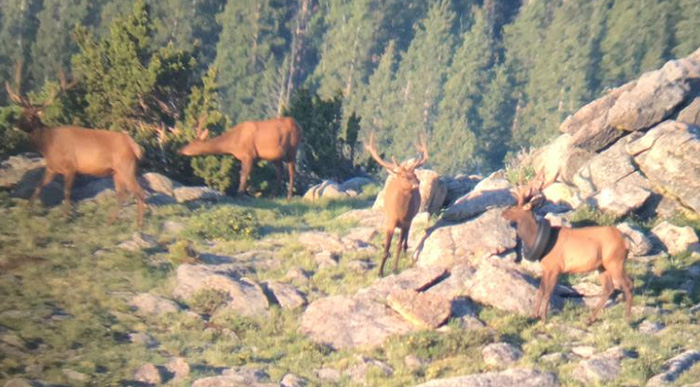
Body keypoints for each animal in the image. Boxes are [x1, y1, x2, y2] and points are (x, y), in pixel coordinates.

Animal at [4, 62, 148, 229]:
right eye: (22, 113)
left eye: (31, 117)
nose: (15, 125)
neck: (48, 145)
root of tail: (135, 147)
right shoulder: (52, 167)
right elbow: (39, 186)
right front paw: (27, 210)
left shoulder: (71, 167)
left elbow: (67, 192)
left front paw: (65, 217)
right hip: (117, 171)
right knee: (122, 193)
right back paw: (111, 221)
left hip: (126, 166)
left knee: (139, 192)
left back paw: (139, 225)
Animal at [364, 132, 430, 278]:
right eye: (404, 177)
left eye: (414, 174)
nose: (417, 184)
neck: (399, 212)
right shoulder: (390, 221)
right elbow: (388, 246)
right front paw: (380, 272)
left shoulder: (406, 220)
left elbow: (398, 246)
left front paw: (394, 269)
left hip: (411, 219)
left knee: (405, 237)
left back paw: (405, 251)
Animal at [500, 171, 632, 322]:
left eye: (516, 207)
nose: (503, 212)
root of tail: (625, 242)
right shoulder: (546, 267)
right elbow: (540, 290)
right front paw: (534, 315)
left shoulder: (556, 267)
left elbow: (548, 292)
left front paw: (543, 317)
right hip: (602, 266)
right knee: (609, 288)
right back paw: (590, 319)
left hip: (615, 261)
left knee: (628, 284)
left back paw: (628, 319)